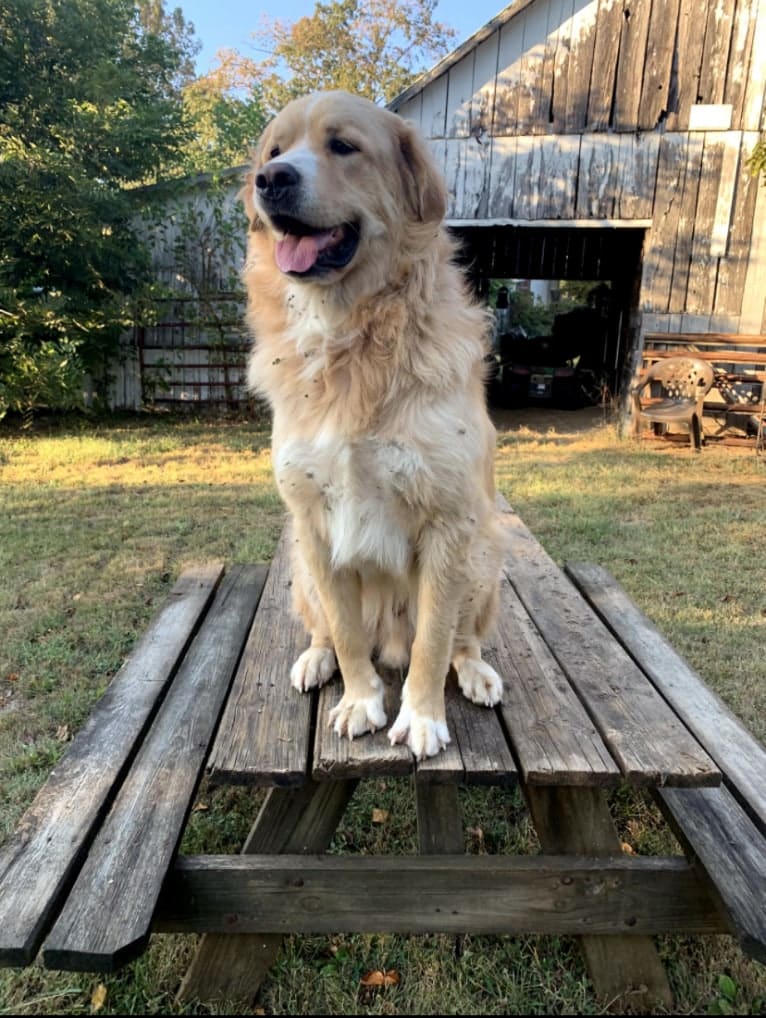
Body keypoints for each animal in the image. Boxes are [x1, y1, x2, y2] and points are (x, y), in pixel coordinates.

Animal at [239, 93, 509, 757]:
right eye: (275, 150)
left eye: (343, 146)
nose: (270, 181)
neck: (350, 338)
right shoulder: (314, 523)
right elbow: (345, 631)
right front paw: (361, 700)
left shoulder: (449, 523)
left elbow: (433, 640)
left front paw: (421, 717)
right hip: (300, 569)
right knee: (323, 629)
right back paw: (316, 659)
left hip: (485, 555)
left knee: (462, 638)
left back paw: (476, 670)